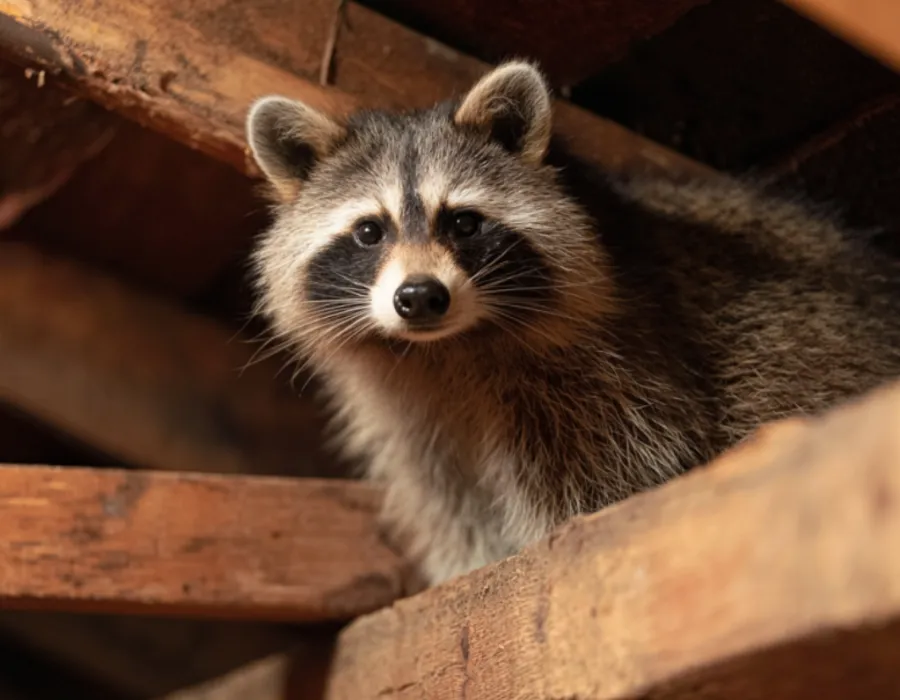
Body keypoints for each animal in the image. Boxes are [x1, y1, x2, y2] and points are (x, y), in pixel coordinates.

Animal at [246, 61, 900, 586]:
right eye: (369, 231)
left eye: (463, 223)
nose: (420, 297)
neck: (449, 347)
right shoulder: (410, 409)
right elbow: (448, 493)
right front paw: (469, 562)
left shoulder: (618, 358)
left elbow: (618, 467)